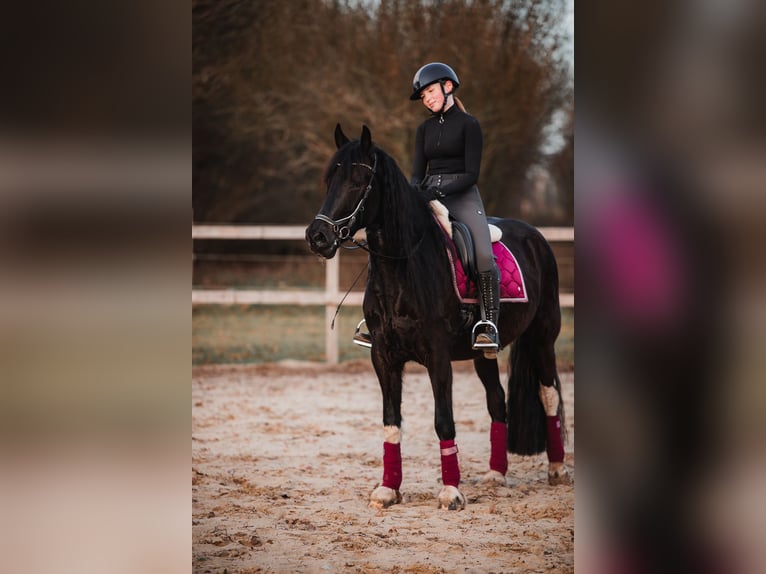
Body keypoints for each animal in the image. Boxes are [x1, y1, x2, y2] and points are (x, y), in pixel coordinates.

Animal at [308, 126, 568, 512]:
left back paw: (558, 469)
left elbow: (444, 421)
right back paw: (496, 474)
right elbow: (391, 421)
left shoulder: (438, 357)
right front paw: (387, 490)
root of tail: (535, 236)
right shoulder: (383, 357)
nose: (317, 236)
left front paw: (451, 492)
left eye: (358, 181)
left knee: (548, 394)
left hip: (543, 337)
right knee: (497, 401)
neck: (403, 267)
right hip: (483, 352)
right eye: (330, 179)